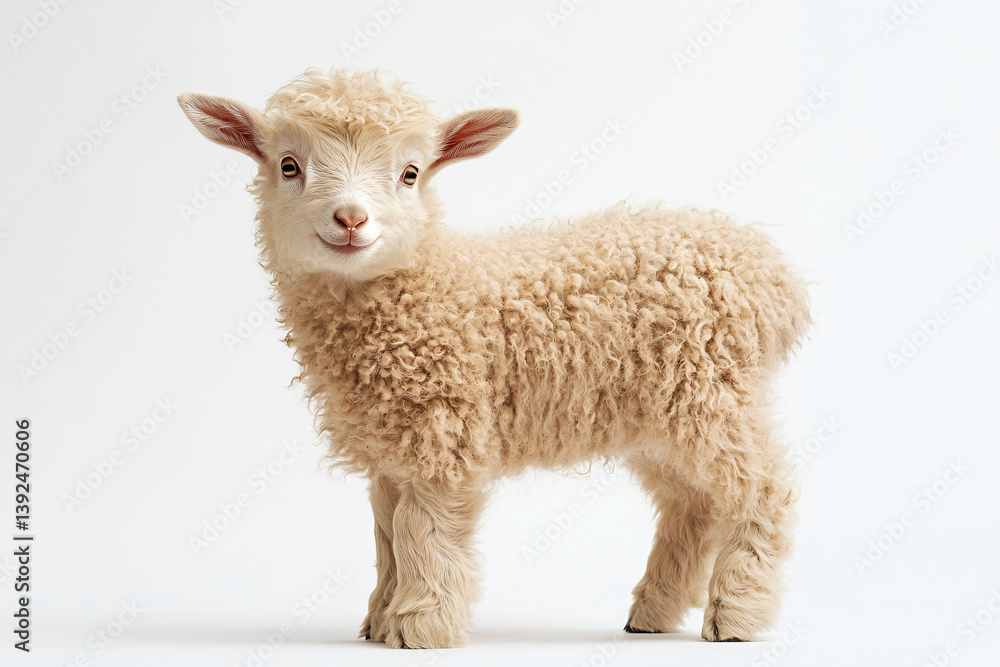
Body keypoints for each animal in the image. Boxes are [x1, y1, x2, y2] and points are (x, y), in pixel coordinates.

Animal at [178, 67, 811, 649]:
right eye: (289, 166)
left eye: (410, 174)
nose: (352, 219)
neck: (429, 280)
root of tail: (769, 273)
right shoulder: (389, 447)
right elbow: (386, 533)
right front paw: (379, 621)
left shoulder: (443, 430)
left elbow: (421, 530)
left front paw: (419, 626)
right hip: (660, 415)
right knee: (693, 503)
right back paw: (653, 612)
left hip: (712, 393)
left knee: (761, 489)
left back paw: (736, 615)